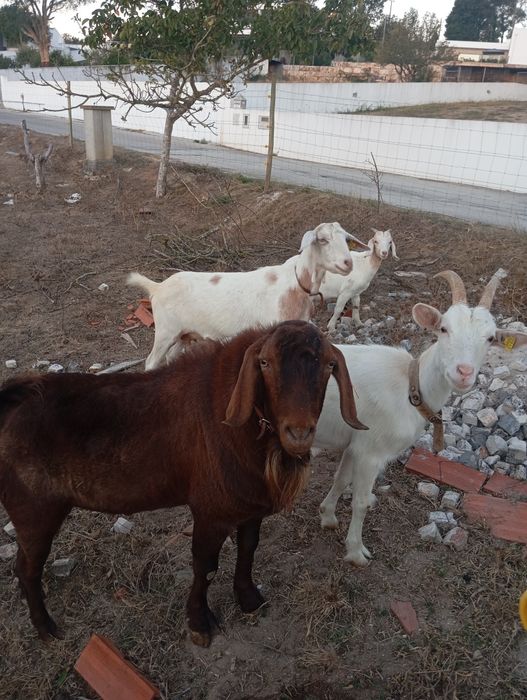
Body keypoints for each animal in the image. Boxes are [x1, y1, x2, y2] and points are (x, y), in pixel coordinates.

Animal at [0, 321, 367, 646]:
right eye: (265, 363)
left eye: (328, 365)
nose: (299, 434)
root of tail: (13, 401)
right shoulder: (210, 510)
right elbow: (205, 567)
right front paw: (199, 624)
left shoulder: (249, 507)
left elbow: (248, 549)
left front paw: (249, 600)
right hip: (34, 512)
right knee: (26, 568)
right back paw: (46, 628)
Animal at [128, 222, 369, 370]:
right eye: (323, 239)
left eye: (346, 240)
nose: (347, 263)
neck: (296, 284)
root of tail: (157, 287)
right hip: (165, 332)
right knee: (151, 362)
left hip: (183, 334)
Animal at [315, 269, 527, 566]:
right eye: (444, 328)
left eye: (490, 338)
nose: (464, 372)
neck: (410, 388)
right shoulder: (371, 451)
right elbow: (360, 501)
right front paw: (357, 552)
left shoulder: (355, 444)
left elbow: (341, 478)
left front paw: (328, 516)